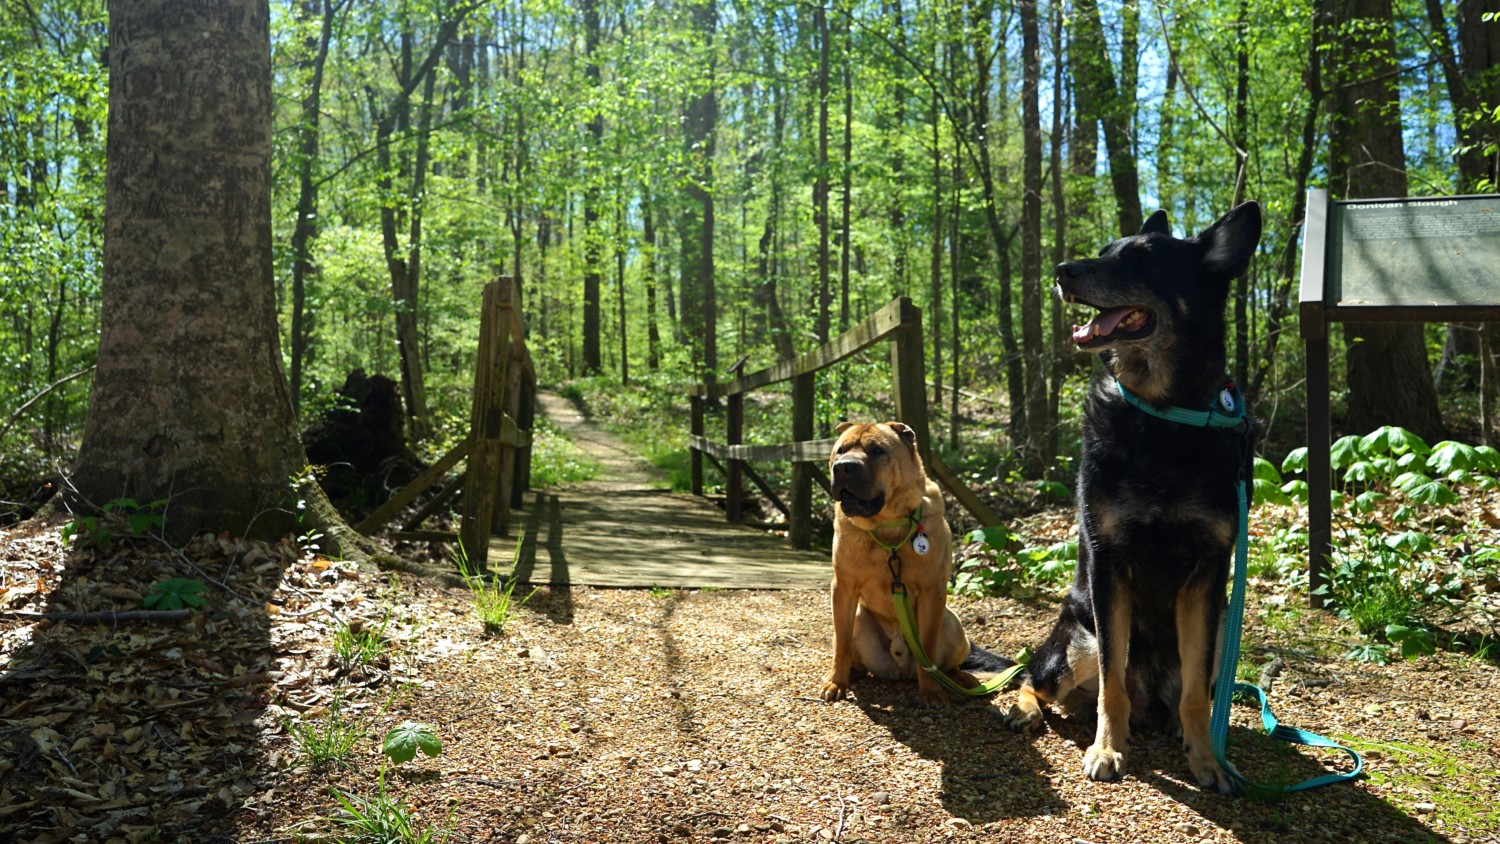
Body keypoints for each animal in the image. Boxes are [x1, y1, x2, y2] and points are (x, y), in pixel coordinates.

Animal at [822, 419, 996, 707]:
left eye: (877, 450)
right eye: (840, 450)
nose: (844, 466)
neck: (886, 526)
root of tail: (899, 670)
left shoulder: (931, 591)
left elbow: (927, 646)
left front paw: (931, 692)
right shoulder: (844, 589)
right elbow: (841, 645)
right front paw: (837, 682)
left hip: (952, 624)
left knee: (945, 665)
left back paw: (960, 679)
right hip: (857, 616)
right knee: (851, 652)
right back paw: (851, 673)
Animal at [1008, 202, 1266, 791]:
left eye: (1145, 258)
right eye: (1105, 251)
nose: (1062, 271)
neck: (1164, 415)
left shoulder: (1207, 577)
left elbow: (1196, 693)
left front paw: (1208, 758)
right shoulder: (1109, 567)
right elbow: (1112, 682)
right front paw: (1107, 748)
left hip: (1221, 630)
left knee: (1185, 691)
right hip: (1078, 637)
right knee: (1036, 680)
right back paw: (1026, 711)